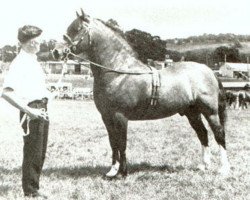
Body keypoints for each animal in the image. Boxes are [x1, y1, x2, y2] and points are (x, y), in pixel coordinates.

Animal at [58, 9, 230, 177]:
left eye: (77, 29)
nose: (56, 51)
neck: (119, 72)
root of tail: (209, 71)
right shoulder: (107, 117)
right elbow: (113, 143)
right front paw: (112, 171)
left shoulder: (120, 116)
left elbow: (122, 143)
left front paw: (123, 173)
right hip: (192, 113)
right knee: (203, 134)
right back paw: (203, 165)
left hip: (210, 112)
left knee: (219, 134)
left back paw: (223, 169)